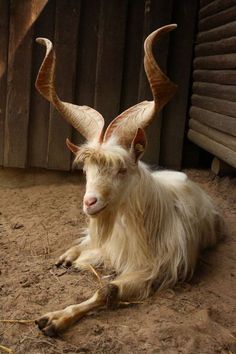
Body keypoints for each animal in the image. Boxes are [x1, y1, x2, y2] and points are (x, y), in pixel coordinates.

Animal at [34, 24, 222, 334]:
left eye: (122, 169)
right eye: (85, 170)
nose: (90, 202)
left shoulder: (153, 272)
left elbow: (107, 290)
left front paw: (54, 319)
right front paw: (69, 259)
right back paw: (67, 256)